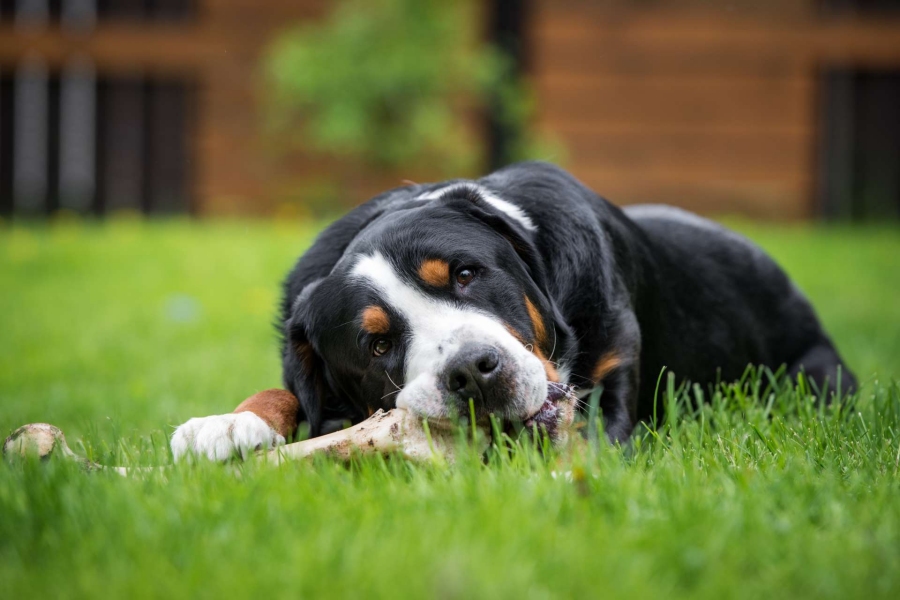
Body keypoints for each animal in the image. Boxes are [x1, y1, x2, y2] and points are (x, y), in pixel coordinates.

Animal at [171, 159, 856, 460]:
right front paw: (228, 423)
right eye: (378, 345)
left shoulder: (606, 392)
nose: (473, 371)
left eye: (467, 274)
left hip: (815, 378)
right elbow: (284, 391)